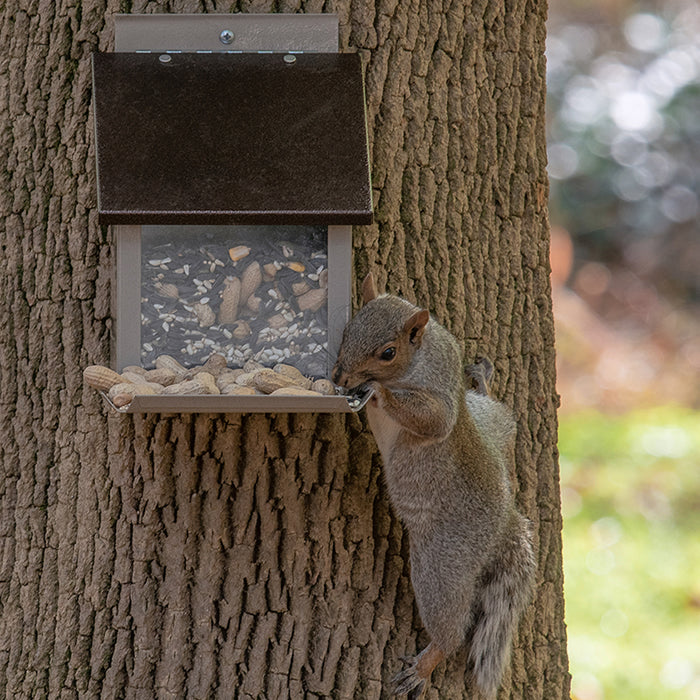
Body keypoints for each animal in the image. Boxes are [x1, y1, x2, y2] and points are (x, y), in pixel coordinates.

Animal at [334, 274, 536, 700]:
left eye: (388, 353)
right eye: (348, 329)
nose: (340, 378)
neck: (420, 358)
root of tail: (507, 521)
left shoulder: (439, 401)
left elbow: (433, 420)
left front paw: (377, 392)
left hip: (443, 566)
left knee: (452, 628)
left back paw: (426, 665)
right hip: (489, 421)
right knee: (505, 423)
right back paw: (483, 381)